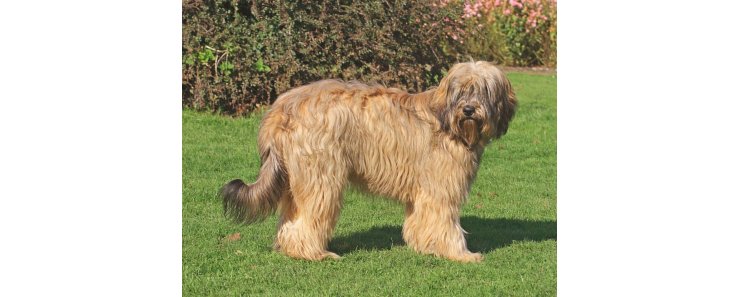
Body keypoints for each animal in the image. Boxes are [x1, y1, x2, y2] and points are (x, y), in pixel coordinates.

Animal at [223, 60, 516, 262]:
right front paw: (461, 255)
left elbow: (420, 221)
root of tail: (282, 107)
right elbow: (446, 222)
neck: (449, 123)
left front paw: (424, 246)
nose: (468, 110)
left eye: (483, 90)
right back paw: (314, 253)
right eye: (461, 91)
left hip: (293, 179)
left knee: (291, 219)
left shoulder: (423, 190)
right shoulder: (441, 187)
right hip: (321, 175)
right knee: (311, 216)